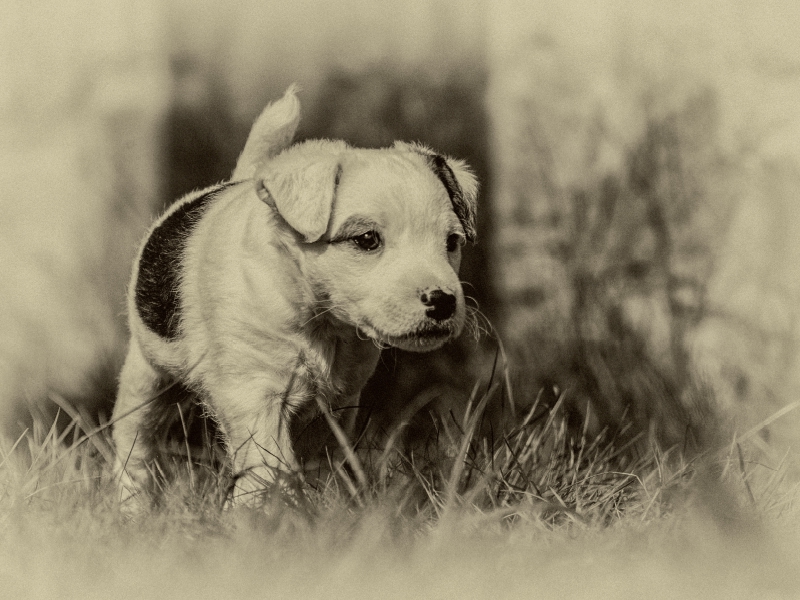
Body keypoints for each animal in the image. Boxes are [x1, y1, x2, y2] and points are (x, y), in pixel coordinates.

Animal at [111, 85, 476, 506]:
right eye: (367, 239)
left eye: (452, 242)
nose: (443, 301)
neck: (319, 320)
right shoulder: (254, 392)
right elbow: (269, 465)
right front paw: (257, 510)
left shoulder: (335, 404)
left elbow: (319, 464)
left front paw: (325, 507)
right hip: (146, 377)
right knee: (137, 441)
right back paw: (132, 503)